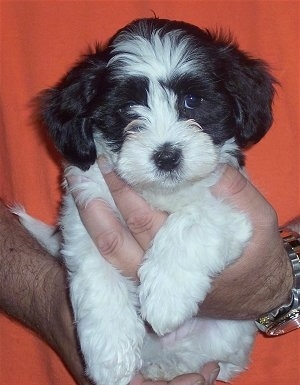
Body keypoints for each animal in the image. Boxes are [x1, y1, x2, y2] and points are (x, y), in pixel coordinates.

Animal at [15, 18, 276, 384]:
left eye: (192, 100)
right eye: (127, 108)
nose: (166, 156)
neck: (158, 192)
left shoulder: (237, 203)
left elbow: (193, 220)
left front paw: (166, 297)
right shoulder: (89, 217)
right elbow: (97, 279)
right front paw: (110, 357)